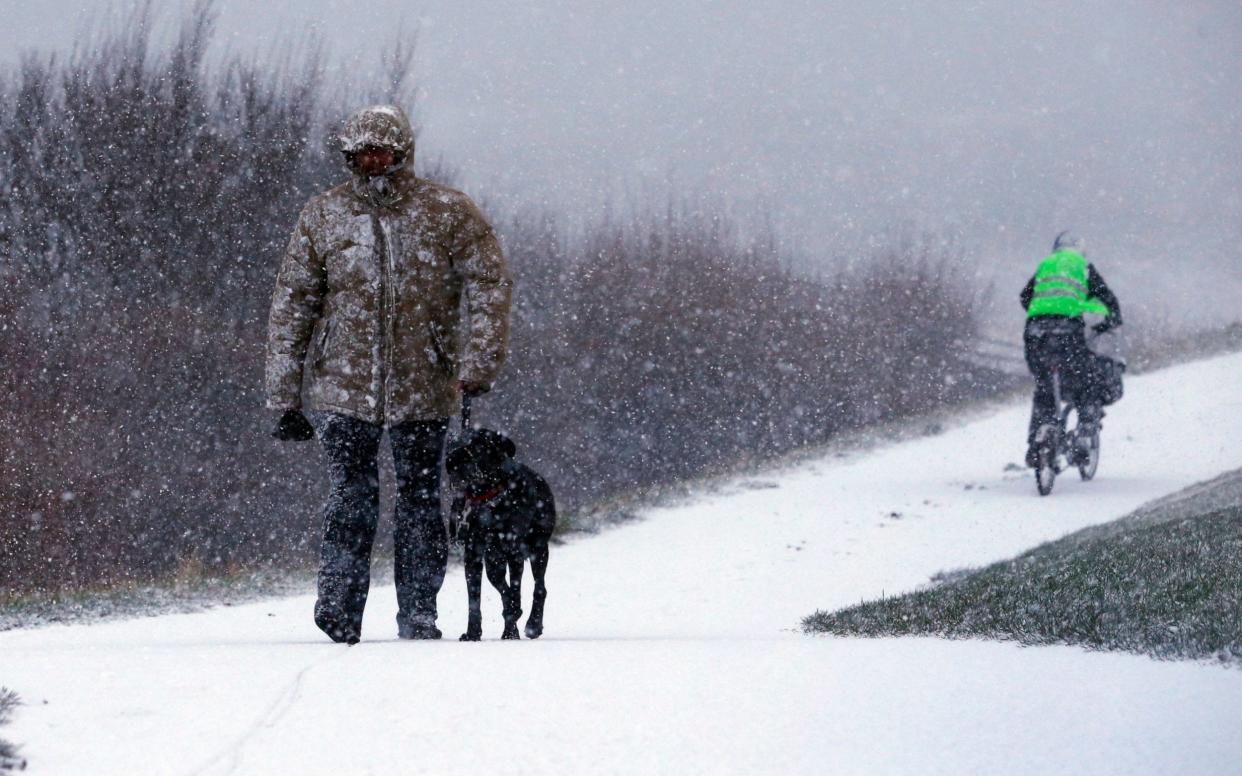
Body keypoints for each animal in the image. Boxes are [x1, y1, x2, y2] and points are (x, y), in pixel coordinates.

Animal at [447, 427, 558, 640]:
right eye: (452, 443)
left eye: (477, 444)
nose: (452, 459)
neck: (487, 499)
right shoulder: (473, 554)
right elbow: (476, 597)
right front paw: (473, 632)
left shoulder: (514, 551)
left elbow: (514, 590)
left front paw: (514, 619)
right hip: (494, 558)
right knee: (499, 580)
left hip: (538, 548)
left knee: (540, 587)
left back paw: (533, 624)